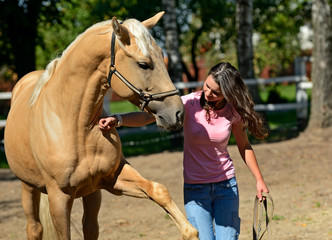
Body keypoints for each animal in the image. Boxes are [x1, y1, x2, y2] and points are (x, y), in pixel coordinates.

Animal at [3, 11, 198, 240]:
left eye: (161, 55)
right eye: (143, 64)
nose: (178, 113)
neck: (75, 124)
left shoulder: (113, 177)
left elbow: (158, 190)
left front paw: (189, 231)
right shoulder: (59, 197)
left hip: (92, 192)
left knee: (90, 227)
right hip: (28, 188)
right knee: (34, 228)